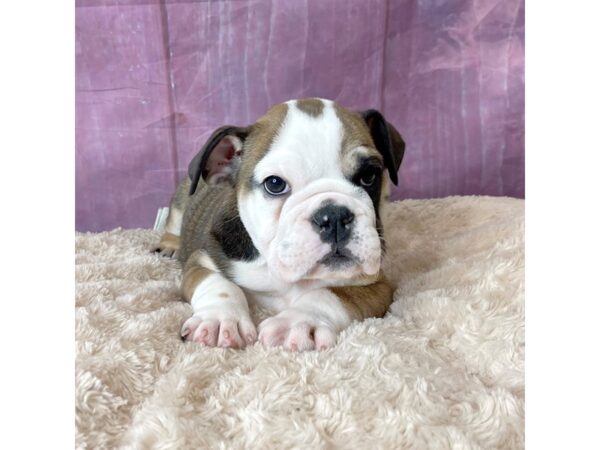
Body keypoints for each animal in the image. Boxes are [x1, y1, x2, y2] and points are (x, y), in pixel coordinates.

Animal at [154, 98, 408, 352]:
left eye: (369, 175)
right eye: (275, 184)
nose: (333, 216)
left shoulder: (375, 284)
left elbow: (332, 294)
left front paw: (300, 320)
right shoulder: (203, 260)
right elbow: (219, 284)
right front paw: (220, 319)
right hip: (180, 203)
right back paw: (169, 246)